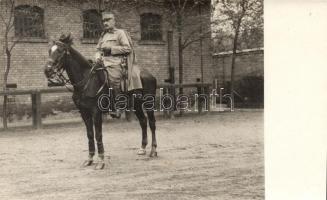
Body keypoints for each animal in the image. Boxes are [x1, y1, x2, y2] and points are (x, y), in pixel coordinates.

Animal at [44, 33, 159, 170]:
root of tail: (150, 75)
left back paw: (153, 150)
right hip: (136, 105)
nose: (47, 70)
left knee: (152, 123)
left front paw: (100, 161)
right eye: (50, 50)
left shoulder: (96, 112)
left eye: (60, 51)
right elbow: (90, 134)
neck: (86, 81)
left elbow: (98, 135)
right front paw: (89, 159)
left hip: (148, 104)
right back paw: (142, 148)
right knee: (143, 122)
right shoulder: (84, 113)